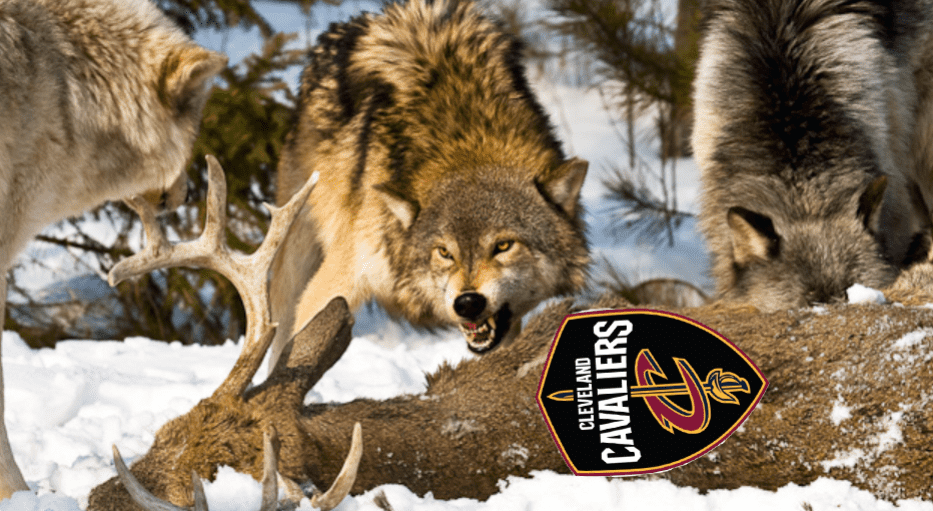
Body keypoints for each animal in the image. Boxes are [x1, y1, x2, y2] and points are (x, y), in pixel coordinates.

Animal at [270, 0, 589, 367]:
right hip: (295, 247)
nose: (468, 303)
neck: (469, 147)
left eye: (504, 246)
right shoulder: (339, 279)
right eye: (444, 252)